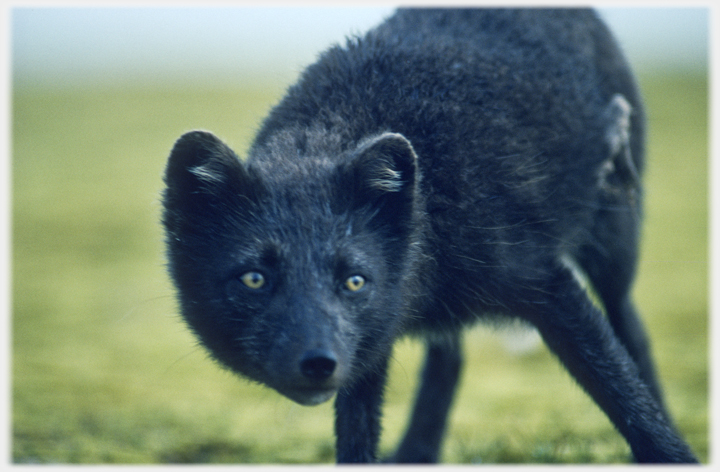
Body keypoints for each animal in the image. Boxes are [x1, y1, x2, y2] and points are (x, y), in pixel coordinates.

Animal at [162, 8, 697, 463]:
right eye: (254, 279)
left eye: (354, 281)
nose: (317, 364)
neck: (431, 205)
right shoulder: (372, 338)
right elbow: (357, 436)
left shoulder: (546, 282)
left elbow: (624, 394)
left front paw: (674, 454)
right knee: (450, 358)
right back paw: (417, 452)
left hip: (614, 243)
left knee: (631, 332)